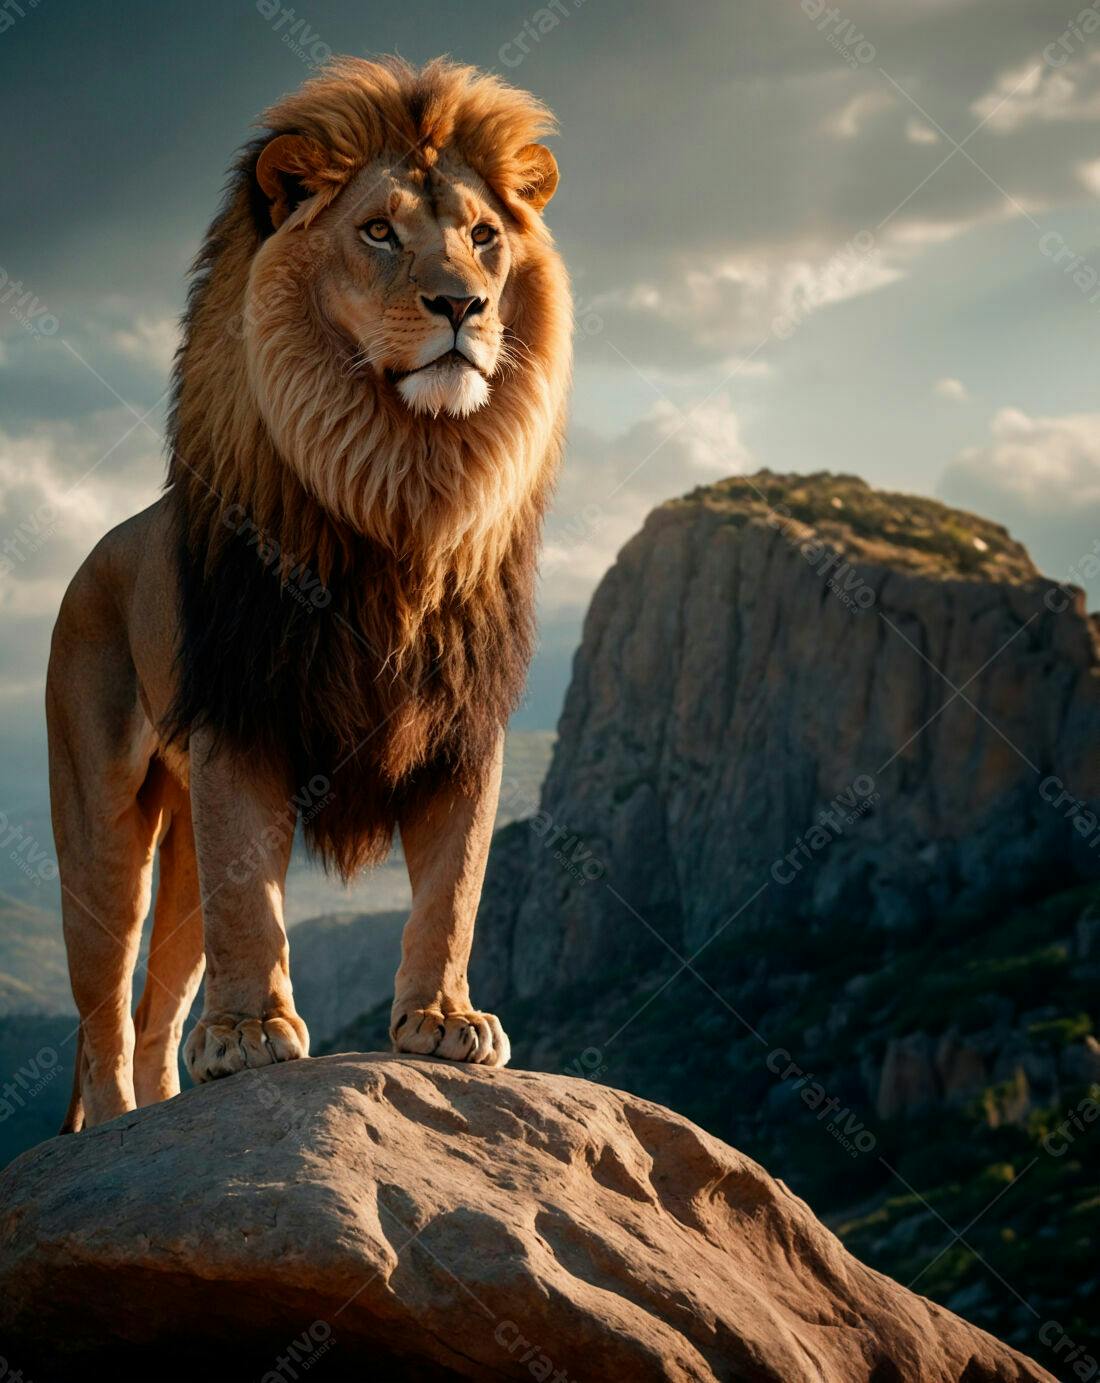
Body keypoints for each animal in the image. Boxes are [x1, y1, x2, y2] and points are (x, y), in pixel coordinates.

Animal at [47, 56, 572, 1131]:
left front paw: (444, 1019)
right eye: (378, 232)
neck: (406, 484)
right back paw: (119, 1124)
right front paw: (254, 1035)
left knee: (158, 1007)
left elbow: (453, 887)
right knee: (105, 1012)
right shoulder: (244, 717)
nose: (463, 306)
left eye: (484, 237)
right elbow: (256, 900)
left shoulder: (465, 723)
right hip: (100, 825)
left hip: (182, 828)